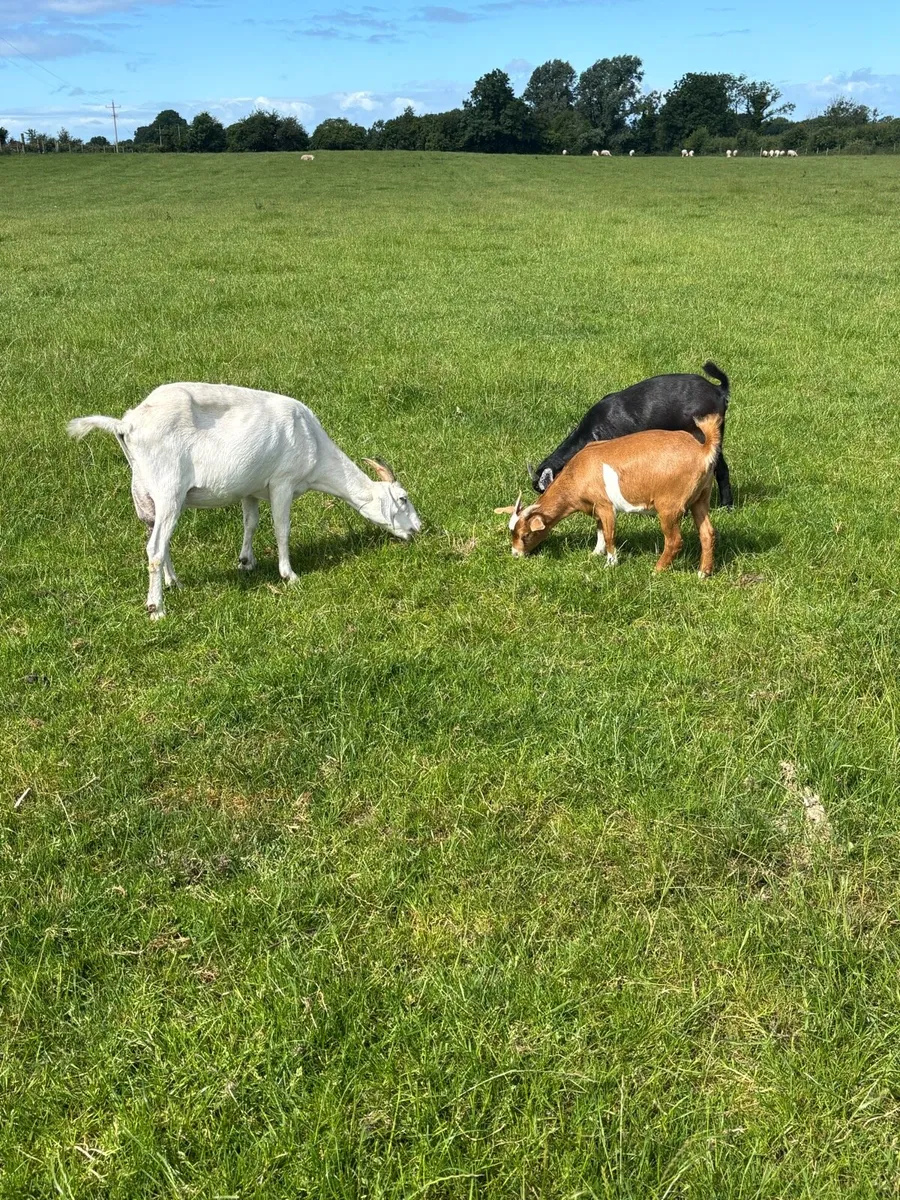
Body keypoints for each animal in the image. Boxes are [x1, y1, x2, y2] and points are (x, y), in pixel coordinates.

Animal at [67, 383, 422, 619]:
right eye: (403, 499)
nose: (418, 529)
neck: (314, 446)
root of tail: (126, 424)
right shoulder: (282, 482)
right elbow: (281, 528)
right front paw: (289, 575)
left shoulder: (250, 489)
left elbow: (251, 523)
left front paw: (245, 562)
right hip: (168, 487)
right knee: (154, 547)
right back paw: (157, 608)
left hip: (146, 492)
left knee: (158, 539)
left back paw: (174, 583)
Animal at [498, 414, 721, 576]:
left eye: (526, 535)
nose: (516, 554)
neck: (577, 473)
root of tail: (702, 450)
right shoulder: (596, 508)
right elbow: (599, 530)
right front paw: (595, 553)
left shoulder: (606, 506)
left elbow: (609, 534)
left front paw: (611, 563)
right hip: (701, 498)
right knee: (707, 533)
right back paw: (703, 573)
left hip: (669, 506)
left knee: (674, 540)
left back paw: (656, 571)